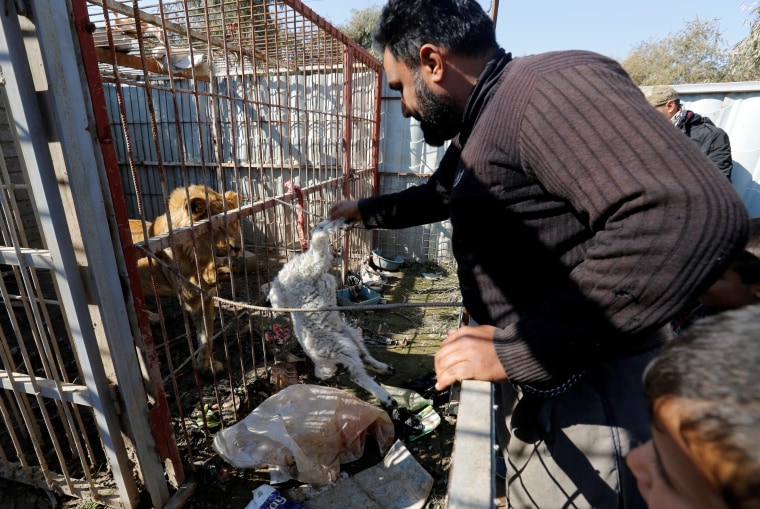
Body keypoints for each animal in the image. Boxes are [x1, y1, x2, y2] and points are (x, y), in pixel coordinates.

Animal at [127, 185, 240, 372]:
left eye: (235, 223)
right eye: (218, 227)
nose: (237, 248)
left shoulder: (207, 299)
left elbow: (207, 334)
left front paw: (206, 365)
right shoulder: (189, 295)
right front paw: (216, 269)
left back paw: (153, 317)